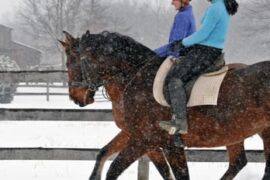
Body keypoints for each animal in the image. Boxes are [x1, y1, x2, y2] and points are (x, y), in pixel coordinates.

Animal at [61, 31, 270, 180]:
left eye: (71, 62)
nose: (75, 97)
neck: (136, 76)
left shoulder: (144, 140)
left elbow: (114, 170)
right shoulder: (155, 141)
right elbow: (104, 153)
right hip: (240, 134)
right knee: (238, 162)